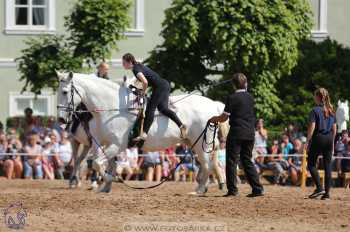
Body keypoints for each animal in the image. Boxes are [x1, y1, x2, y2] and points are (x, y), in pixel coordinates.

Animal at [57, 72, 227, 194]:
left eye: (65, 92)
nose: (61, 119)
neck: (113, 108)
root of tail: (213, 104)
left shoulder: (116, 145)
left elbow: (98, 163)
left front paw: (112, 180)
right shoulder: (101, 144)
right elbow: (102, 163)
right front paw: (106, 186)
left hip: (201, 143)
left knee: (207, 164)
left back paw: (200, 189)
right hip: (194, 143)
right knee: (210, 163)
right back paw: (205, 186)